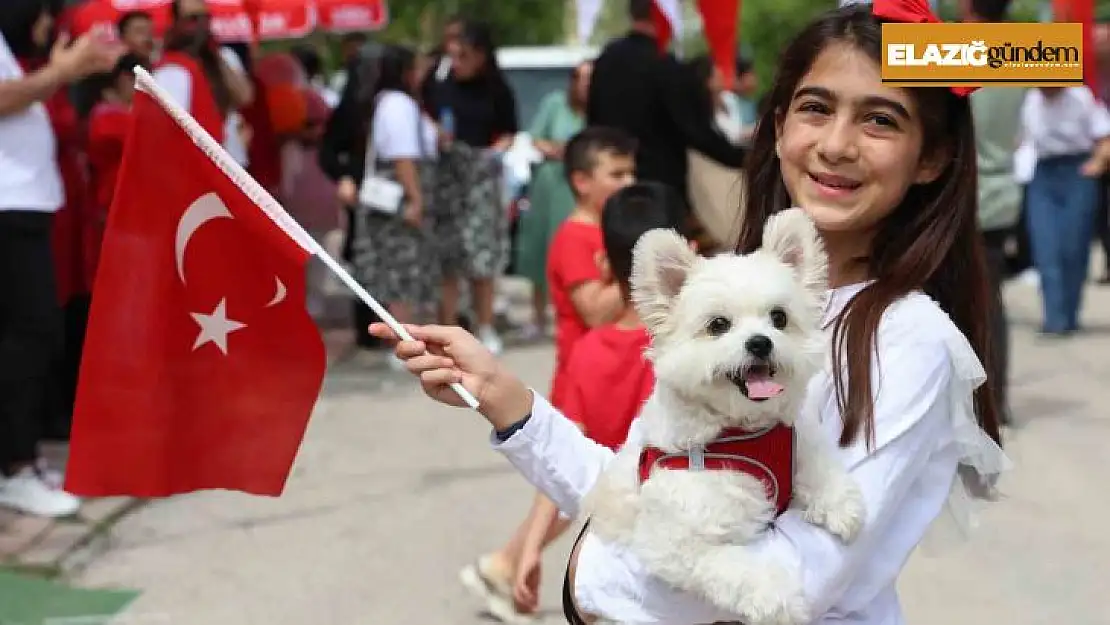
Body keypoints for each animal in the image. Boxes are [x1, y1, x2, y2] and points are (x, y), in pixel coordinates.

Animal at [581, 208, 865, 625]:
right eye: (718, 325)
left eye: (779, 318)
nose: (760, 342)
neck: (738, 431)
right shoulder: (674, 542)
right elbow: (734, 566)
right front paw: (779, 600)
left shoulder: (793, 438)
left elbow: (815, 459)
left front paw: (839, 502)